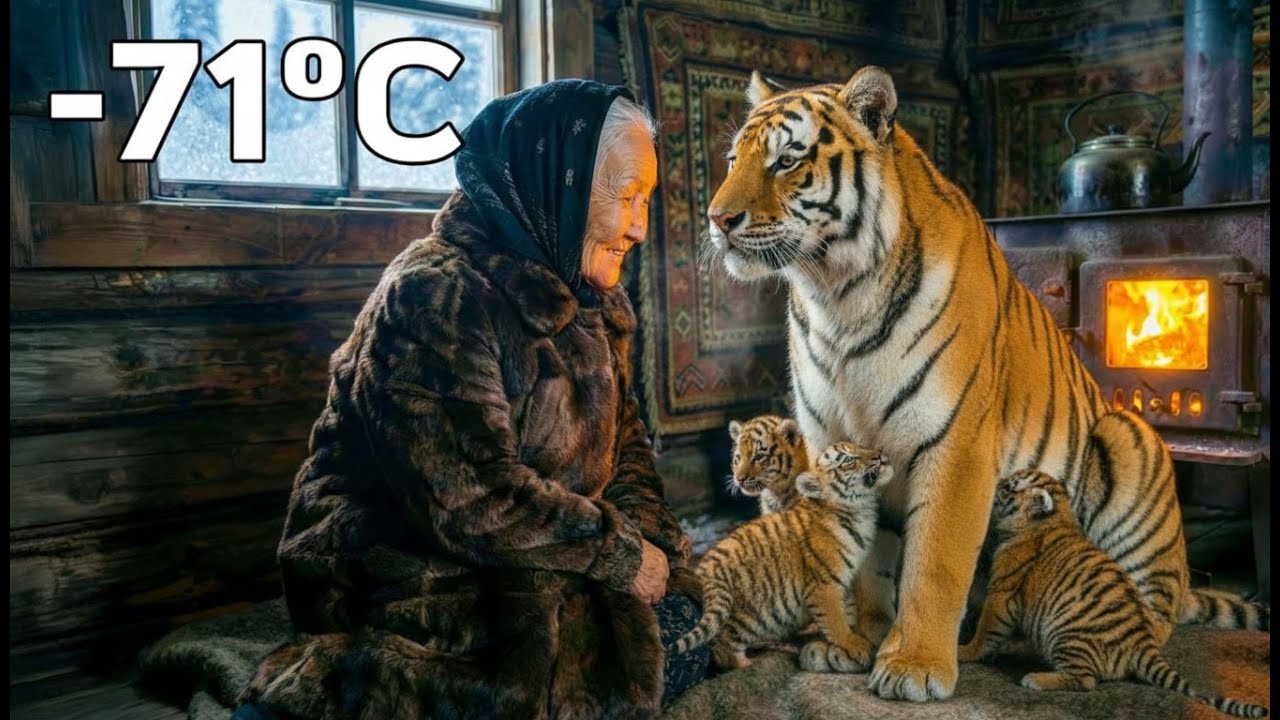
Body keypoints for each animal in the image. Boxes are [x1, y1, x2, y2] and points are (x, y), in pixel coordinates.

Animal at [669, 440, 893, 674]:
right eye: (848, 459)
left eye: (861, 447)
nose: (880, 455)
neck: (859, 509)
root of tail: (706, 567)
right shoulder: (824, 586)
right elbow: (836, 621)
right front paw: (855, 644)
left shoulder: (845, 583)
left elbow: (848, 611)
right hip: (749, 616)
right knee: (723, 644)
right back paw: (747, 663)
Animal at [960, 469, 1269, 718]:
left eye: (1009, 487)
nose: (997, 481)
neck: (1056, 517)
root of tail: (1142, 642)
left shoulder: (1002, 593)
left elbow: (987, 630)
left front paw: (966, 652)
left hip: (1064, 632)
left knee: (1086, 681)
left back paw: (1036, 679)